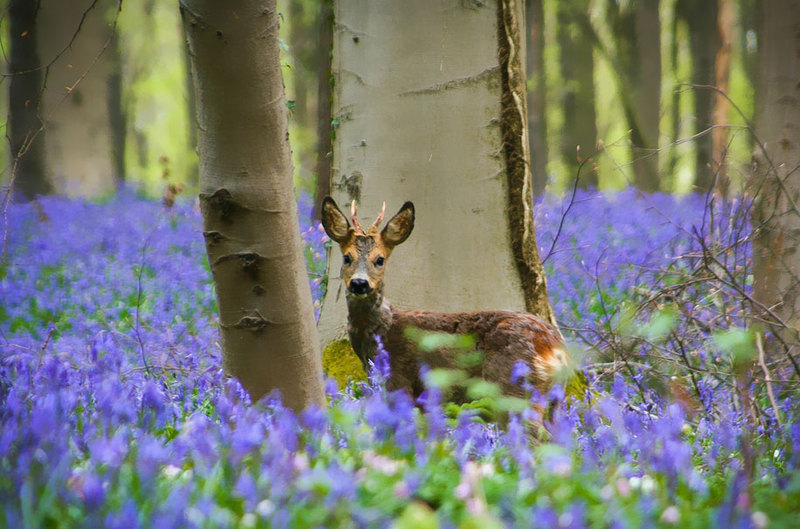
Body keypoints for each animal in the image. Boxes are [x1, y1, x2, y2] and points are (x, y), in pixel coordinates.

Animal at [320, 196, 568, 398]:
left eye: (379, 259)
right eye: (347, 257)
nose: (359, 283)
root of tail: (557, 348)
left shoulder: (399, 379)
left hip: (512, 384)